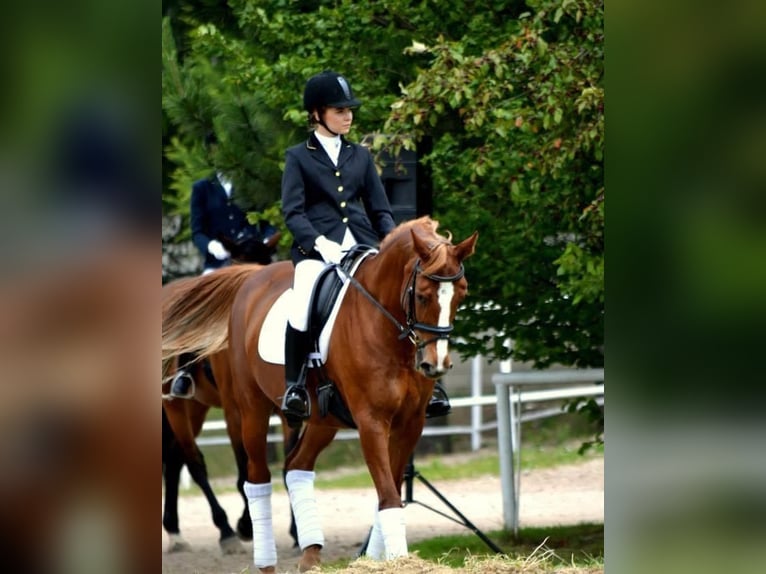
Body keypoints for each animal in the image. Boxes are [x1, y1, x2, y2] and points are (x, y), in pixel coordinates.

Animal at [162, 216, 478, 572]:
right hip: (245, 410)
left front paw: (377, 557)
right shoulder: (371, 422)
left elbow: (391, 491)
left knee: (295, 466)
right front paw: (396, 559)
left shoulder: (411, 423)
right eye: (423, 296)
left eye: (461, 295)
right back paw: (253, 550)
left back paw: (310, 553)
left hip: (320, 420)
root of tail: (251, 278)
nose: (434, 364)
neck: (385, 329)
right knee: (250, 476)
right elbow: (388, 495)